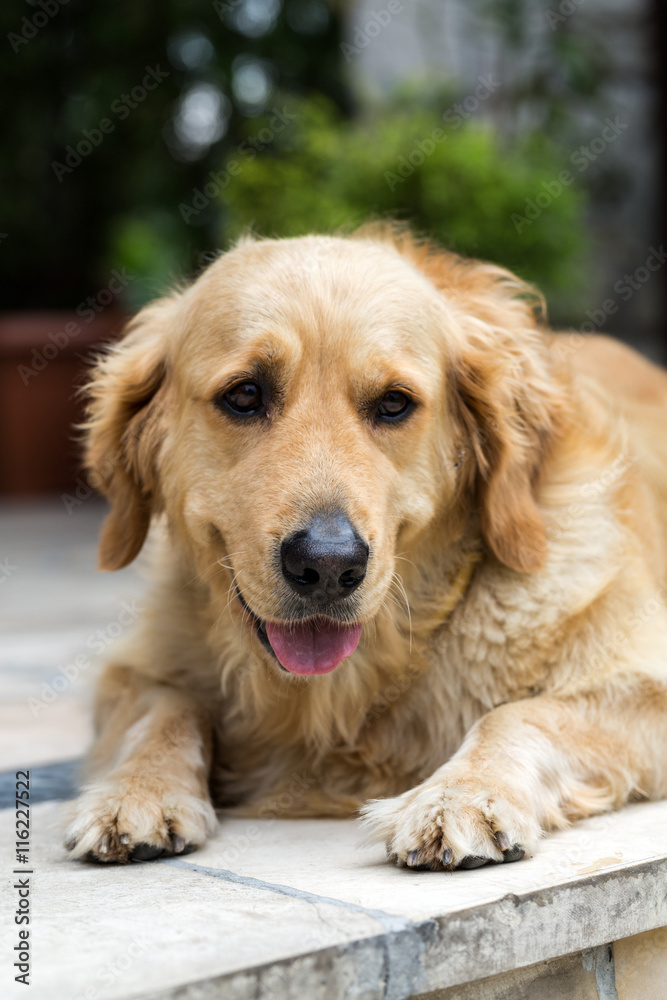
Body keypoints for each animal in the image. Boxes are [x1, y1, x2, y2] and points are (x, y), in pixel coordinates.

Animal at [65, 225, 667, 868]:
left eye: (394, 403)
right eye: (245, 395)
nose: (327, 565)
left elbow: (520, 714)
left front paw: (460, 794)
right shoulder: (135, 666)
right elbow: (166, 706)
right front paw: (137, 789)